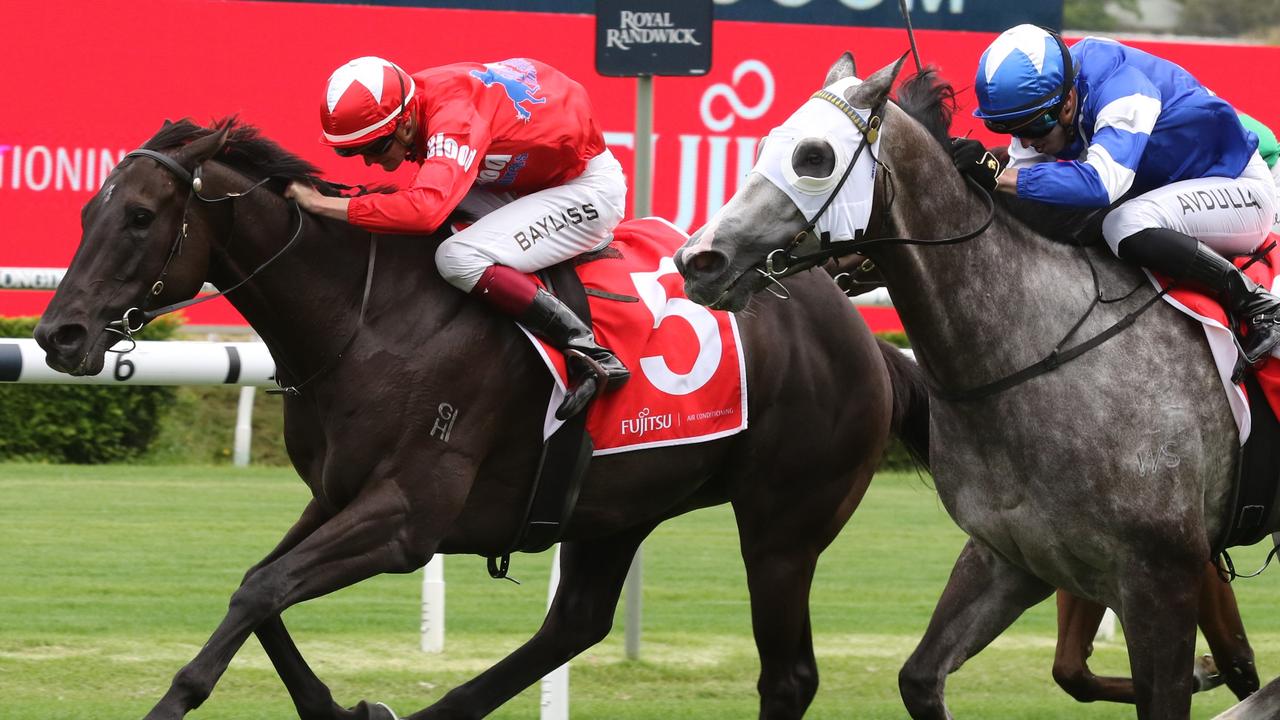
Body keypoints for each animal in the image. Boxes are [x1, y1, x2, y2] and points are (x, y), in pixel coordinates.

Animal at [32, 120, 931, 712]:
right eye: (84, 213)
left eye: (140, 217)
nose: (56, 335)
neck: (368, 317)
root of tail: (868, 342)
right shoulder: (336, 496)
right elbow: (259, 588)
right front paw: (344, 706)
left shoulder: (406, 518)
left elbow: (261, 593)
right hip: (619, 504)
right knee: (574, 624)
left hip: (783, 524)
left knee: (788, 674)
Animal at [680, 53, 1269, 712]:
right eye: (762, 145)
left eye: (814, 157)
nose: (699, 259)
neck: (1035, 352)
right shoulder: (1012, 557)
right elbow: (920, 676)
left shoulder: (1162, 576)